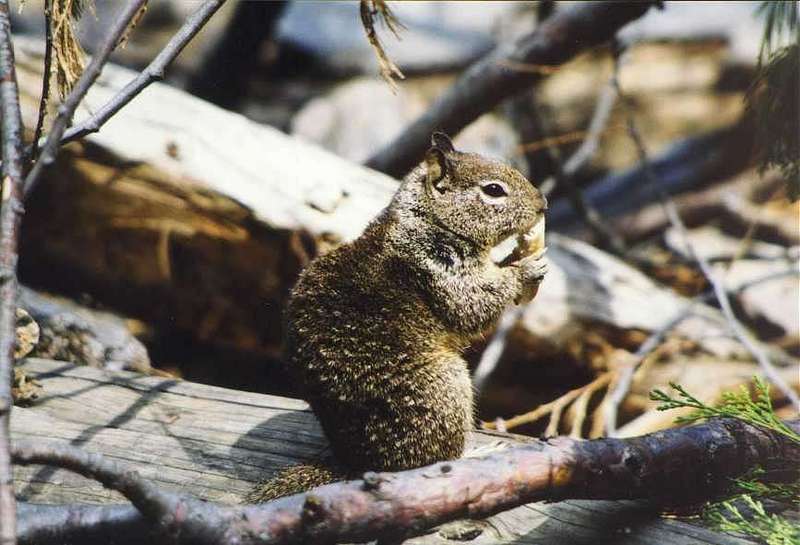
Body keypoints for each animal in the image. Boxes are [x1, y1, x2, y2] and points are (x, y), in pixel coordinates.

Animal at [248, 133, 552, 502]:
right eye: (494, 190)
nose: (543, 204)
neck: (426, 220)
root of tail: (356, 464)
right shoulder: (443, 268)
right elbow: (474, 304)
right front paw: (525, 268)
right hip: (449, 385)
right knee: (435, 461)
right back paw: (477, 454)